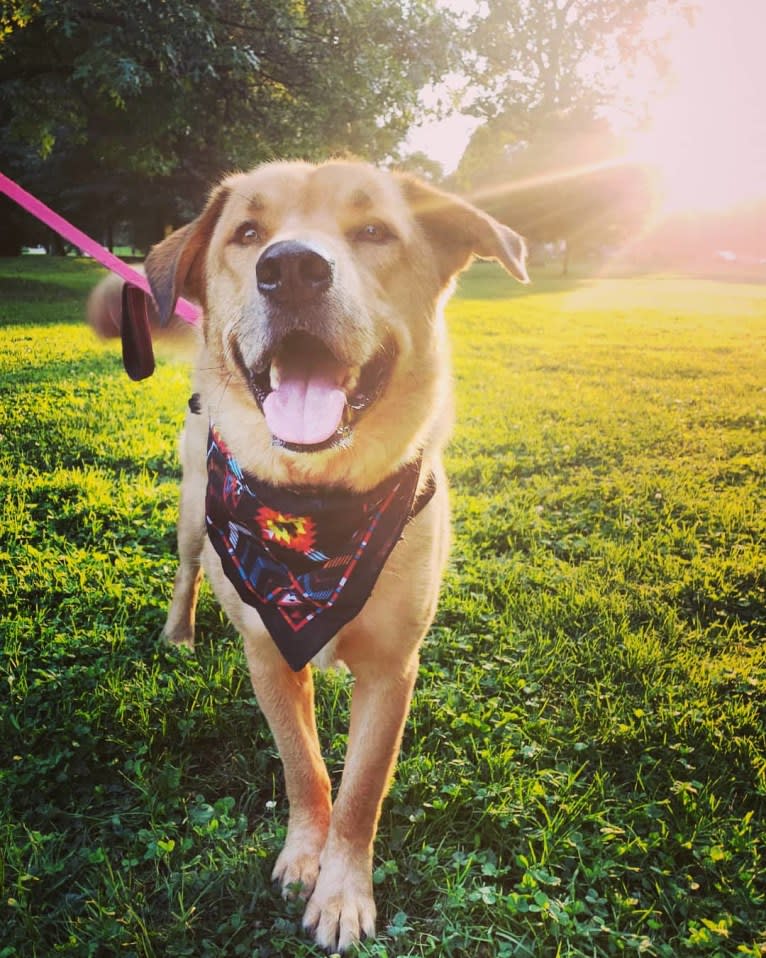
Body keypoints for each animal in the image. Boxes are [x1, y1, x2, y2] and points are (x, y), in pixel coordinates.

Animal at [134, 163, 528, 952]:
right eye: (246, 233)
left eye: (373, 230)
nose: (289, 268)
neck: (319, 506)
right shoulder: (267, 650)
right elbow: (304, 766)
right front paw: (303, 858)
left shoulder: (393, 668)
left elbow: (361, 790)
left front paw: (343, 891)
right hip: (194, 511)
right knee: (188, 570)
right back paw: (178, 633)